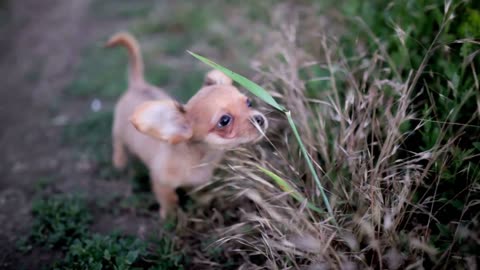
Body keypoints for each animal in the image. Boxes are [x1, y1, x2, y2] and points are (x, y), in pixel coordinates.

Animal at [105, 33, 268, 219]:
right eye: (224, 121)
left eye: (248, 102)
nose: (259, 119)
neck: (201, 159)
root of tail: (138, 85)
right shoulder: (161, 182)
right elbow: (169, 200)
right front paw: (170, 215)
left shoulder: (198, 183)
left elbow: (200, 194)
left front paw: (203, 203)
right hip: (118, 130)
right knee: (118, 142)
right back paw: (119, 161)